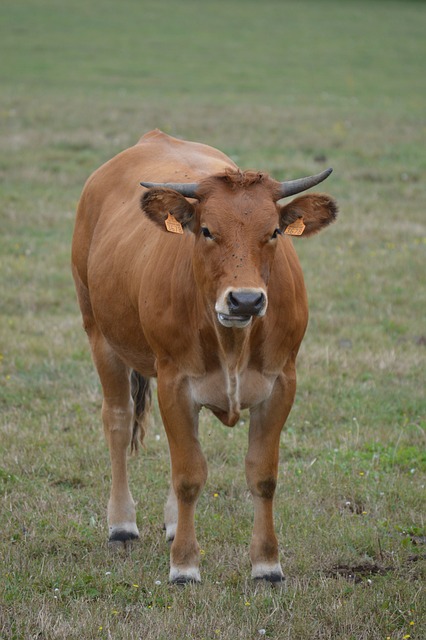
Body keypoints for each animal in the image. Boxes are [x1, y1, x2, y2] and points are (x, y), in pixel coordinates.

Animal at [71, 130, 338, 584]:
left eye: (274, 232)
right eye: (208, 230)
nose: (246, 300)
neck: (233, 342)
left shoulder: (281, 383)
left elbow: (262, 475)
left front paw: (267, 564)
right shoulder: (175, 382)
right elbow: (189, 476)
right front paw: (184, 565)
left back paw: (172, 522)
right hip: (100, 336)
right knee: (119, 422)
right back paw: (122, 524)